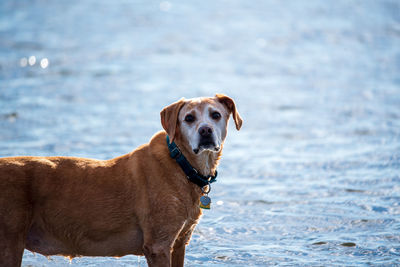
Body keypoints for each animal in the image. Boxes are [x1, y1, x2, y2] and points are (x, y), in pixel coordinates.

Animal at [0, 94, 241, 267]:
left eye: (215, 115)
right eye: (189, 118)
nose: (205, 130)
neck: (181, 163)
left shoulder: (179, 244)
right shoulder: (158, 246)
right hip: (10, 243)